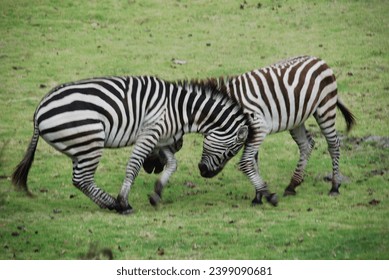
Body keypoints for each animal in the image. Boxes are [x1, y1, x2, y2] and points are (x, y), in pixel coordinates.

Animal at [12, 75, 250, 213]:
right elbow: (133, 166)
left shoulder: (161, 139)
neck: (181, 109)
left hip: (80, 147)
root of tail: (39, 109)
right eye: (230, 152)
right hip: (91, 141)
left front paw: (157, 192)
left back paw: (111, 204)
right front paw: (124, 198)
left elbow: (173, 164)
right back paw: (117, 205)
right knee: (82, 179)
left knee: (81, 180)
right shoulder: (150, 132)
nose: (206, 174)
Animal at [143, 56, 354, 206]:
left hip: (325, 109)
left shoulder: (258, 129)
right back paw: (292, 185)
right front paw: (258, 196)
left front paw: (262, 195)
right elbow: (253, 162)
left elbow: (246, 162)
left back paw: (335, 186)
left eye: (157, 140)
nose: (147, 168)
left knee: (333, 144)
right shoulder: (252, 134)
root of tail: (318, 60)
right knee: (306, 145)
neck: (233, 107)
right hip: (296, 119)